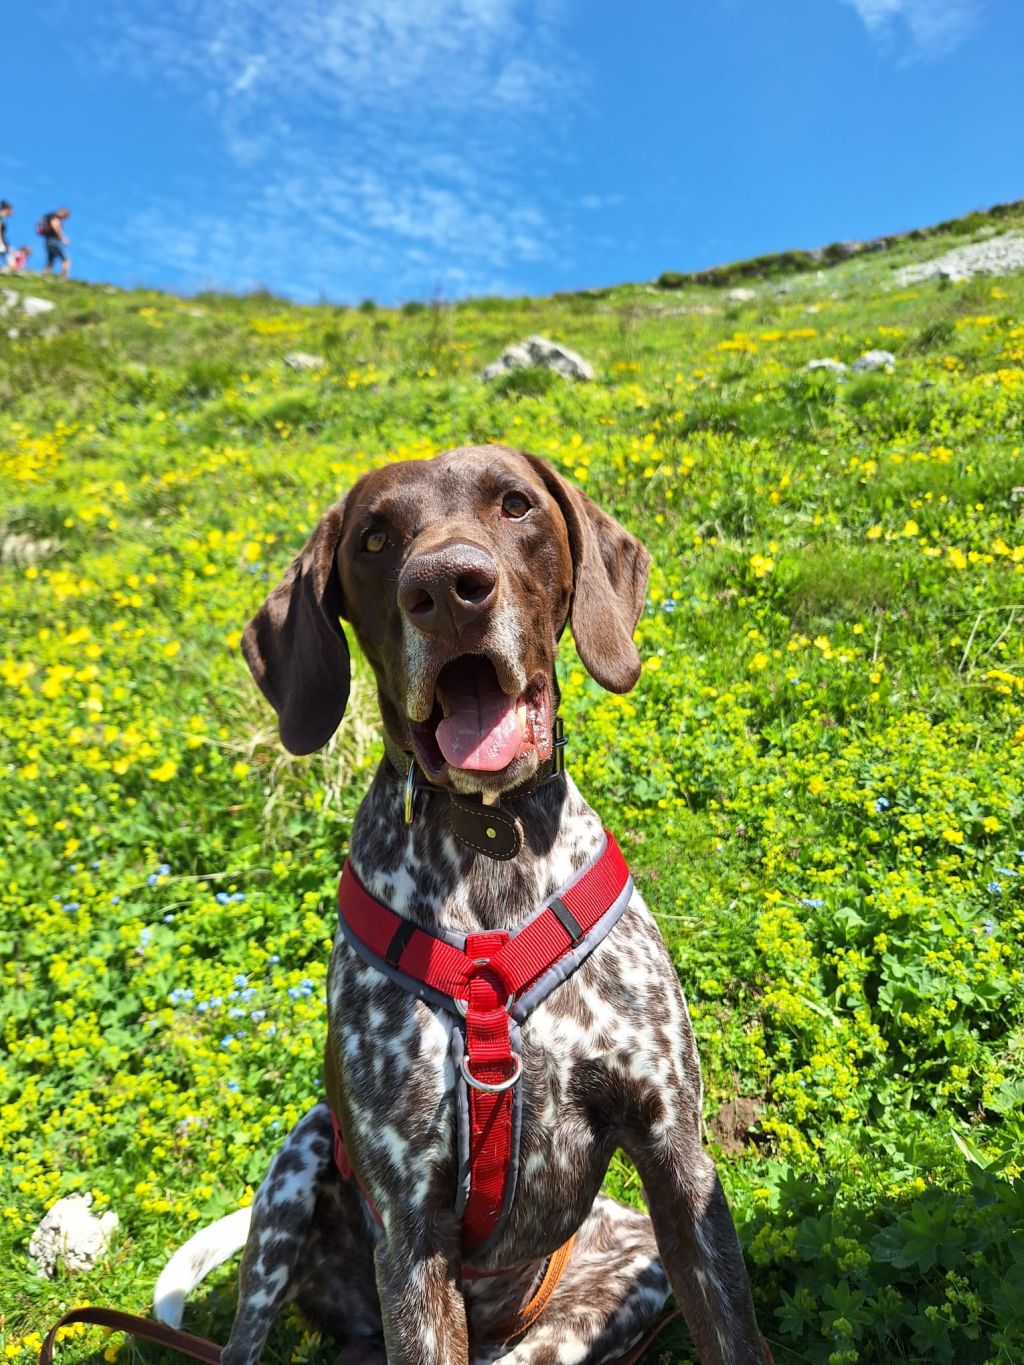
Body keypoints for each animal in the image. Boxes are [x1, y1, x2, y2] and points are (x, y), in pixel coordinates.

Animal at [155, 445, 770, 1364]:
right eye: (375, 539)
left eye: (515, 504)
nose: (447, 587)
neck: (491, 843)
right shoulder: (413, 1234)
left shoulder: (676, 1159)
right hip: (300, 1163)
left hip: (628, 1269)